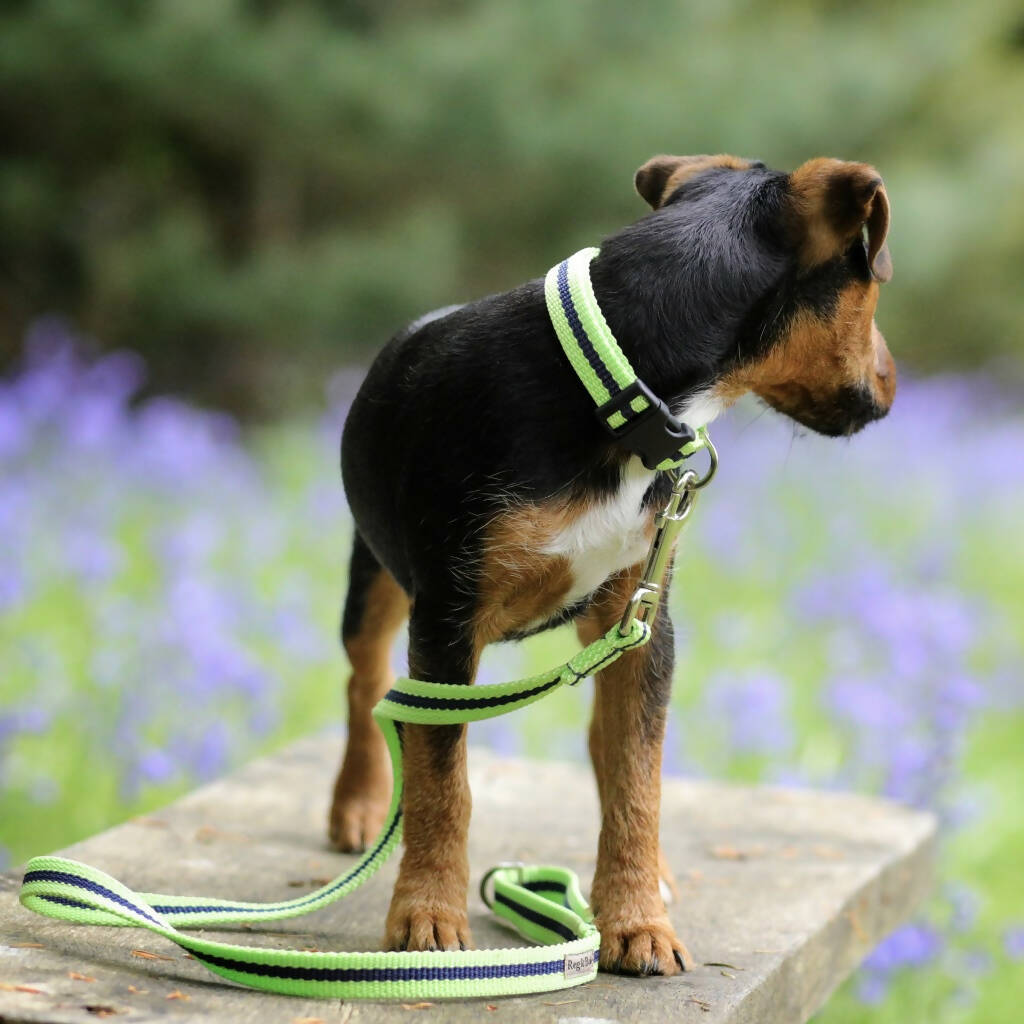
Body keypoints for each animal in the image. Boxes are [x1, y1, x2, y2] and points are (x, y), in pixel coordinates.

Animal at [323, 153, 892, 974]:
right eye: (875, 286)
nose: (892, 383)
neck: (619, 388)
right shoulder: (446, 620)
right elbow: (442, 781)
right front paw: (427, 914)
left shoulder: (644, 615)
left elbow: (636, 778)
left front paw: (636, 920)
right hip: (374, 579)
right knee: (365, 684)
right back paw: (360, 805)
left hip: (607, 630)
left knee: (607, 741)